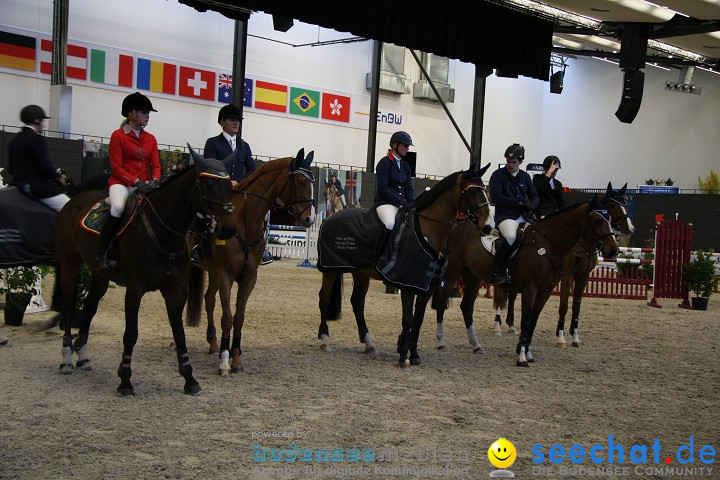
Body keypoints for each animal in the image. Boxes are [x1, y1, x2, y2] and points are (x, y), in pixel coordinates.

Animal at [57, 148, 236, 396]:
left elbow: (179, 334)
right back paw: (66, 359)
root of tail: (74, 201)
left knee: (90, 307)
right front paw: (125, 380)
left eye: (230, 187)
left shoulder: (174, 290)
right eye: (207, 186)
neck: (164, 234)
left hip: (100, 275)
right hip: (69, 265)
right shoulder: (135, 289)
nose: (228, 229)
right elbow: (131, 334)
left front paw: (190, 379)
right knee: (67, 307)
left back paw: (83, 357)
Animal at [187, 150, 316, 376]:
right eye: (301, 182)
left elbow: (239, 317)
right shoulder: (226, 275)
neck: (244, 222)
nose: (309, 220)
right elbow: (228, 317)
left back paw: (213, 344)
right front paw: (225, 361)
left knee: (209, 300)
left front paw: (236, 358)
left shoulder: (248, 278)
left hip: (213, 272)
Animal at [318, 166, 492, 368]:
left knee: (357, 303)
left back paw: (369, 345)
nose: (488, 227)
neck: (427, 230)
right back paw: (325, 340)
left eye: (485, 191)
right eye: (472, 191)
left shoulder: (426, 286)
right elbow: (408, 320)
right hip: (330, 270)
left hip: (361, 273)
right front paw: (403, 356)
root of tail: (329, 218)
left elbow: (418, 320)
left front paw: (414, 354)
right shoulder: (407, 283)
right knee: (324, 298)